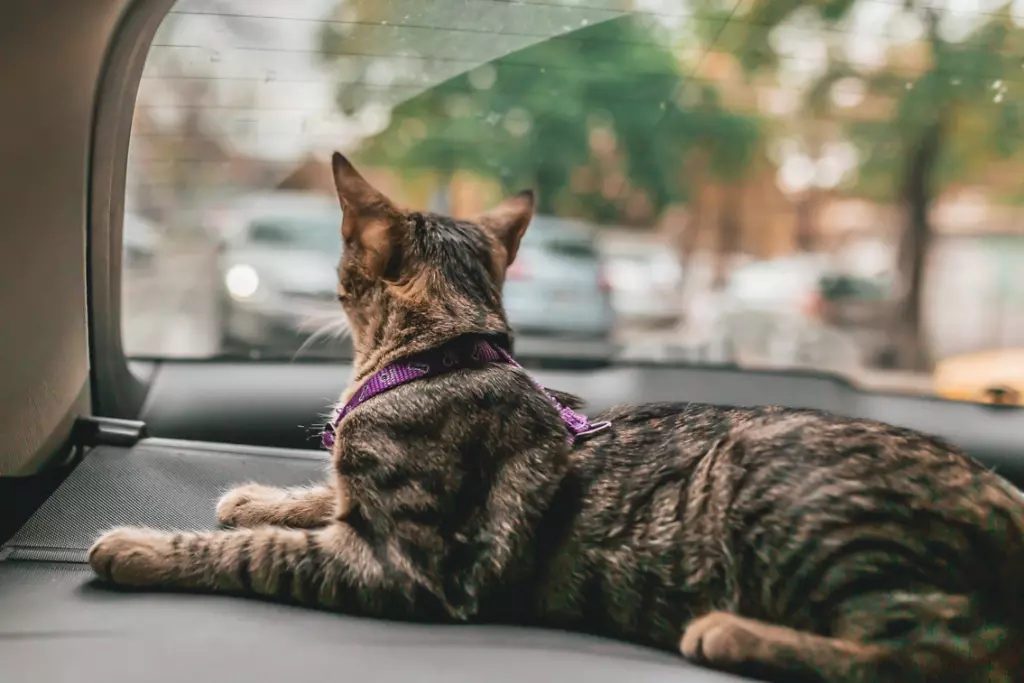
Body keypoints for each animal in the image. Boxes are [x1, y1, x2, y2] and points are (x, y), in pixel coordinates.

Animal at [90, 153, 1024, 683]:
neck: (448, 351)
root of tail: (1006, 502)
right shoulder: (360, 514)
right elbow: (316, 495)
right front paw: (257, 494)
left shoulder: (403, 564)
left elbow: (257, 553)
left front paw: (142, 546)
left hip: (784, 493)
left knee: (946, 648)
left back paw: (733, 633)